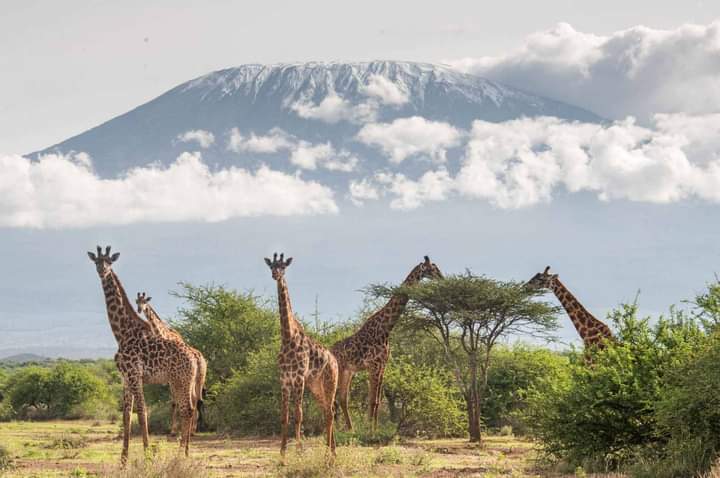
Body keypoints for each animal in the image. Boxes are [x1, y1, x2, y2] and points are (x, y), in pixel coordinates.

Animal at [88, 246, 200, 464]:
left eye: (109, 262)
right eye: (96, 261)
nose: (101, 270)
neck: (121, 332)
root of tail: (194, 357)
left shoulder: (135, 375)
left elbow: (142, 412)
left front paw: (148, 456)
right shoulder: (125, 378)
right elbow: (126, 416)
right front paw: (123, 460)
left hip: (180, 381)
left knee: (187, 410)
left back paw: (180, 454)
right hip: (184, 381)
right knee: (190, 409)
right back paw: (186, 452)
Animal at [136, 294, 208, 436]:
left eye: (145, 302)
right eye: (137, 302)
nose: (140, 309)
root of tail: (201, 358)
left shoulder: (172, 379)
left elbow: (175, 402)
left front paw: (174, 430)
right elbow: (176, 402)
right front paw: (176, 429)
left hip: (199, 378)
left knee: (196, 400)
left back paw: (193, 429)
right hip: (194, 380)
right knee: (195, 399)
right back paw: (192, 429)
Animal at [262, 254, 338, 460]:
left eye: (283, 267)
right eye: (271, 266)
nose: (275, 274)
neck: (288, 337)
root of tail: (335, 361)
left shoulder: (298, 378)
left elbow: (298, 415)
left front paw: (298, 452)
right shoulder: (284, 379)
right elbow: (285, 417)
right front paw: (282, 455)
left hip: (330, 382)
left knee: (330, 412)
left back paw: (329, 454)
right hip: (316, 387)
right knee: (328, 411)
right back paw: (332, 451)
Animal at [330, 256, 442, 432]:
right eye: (432, 269)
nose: (442, 279)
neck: (386, 328)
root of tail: (329, 350)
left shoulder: (382, 366)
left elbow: (377, 401)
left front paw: (373, 429)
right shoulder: (373, 365)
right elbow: (372, 401)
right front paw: (369, 430)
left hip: (349, 371)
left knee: (342, 398)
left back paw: (351, 429)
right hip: (340, 369)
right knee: (334, 397)